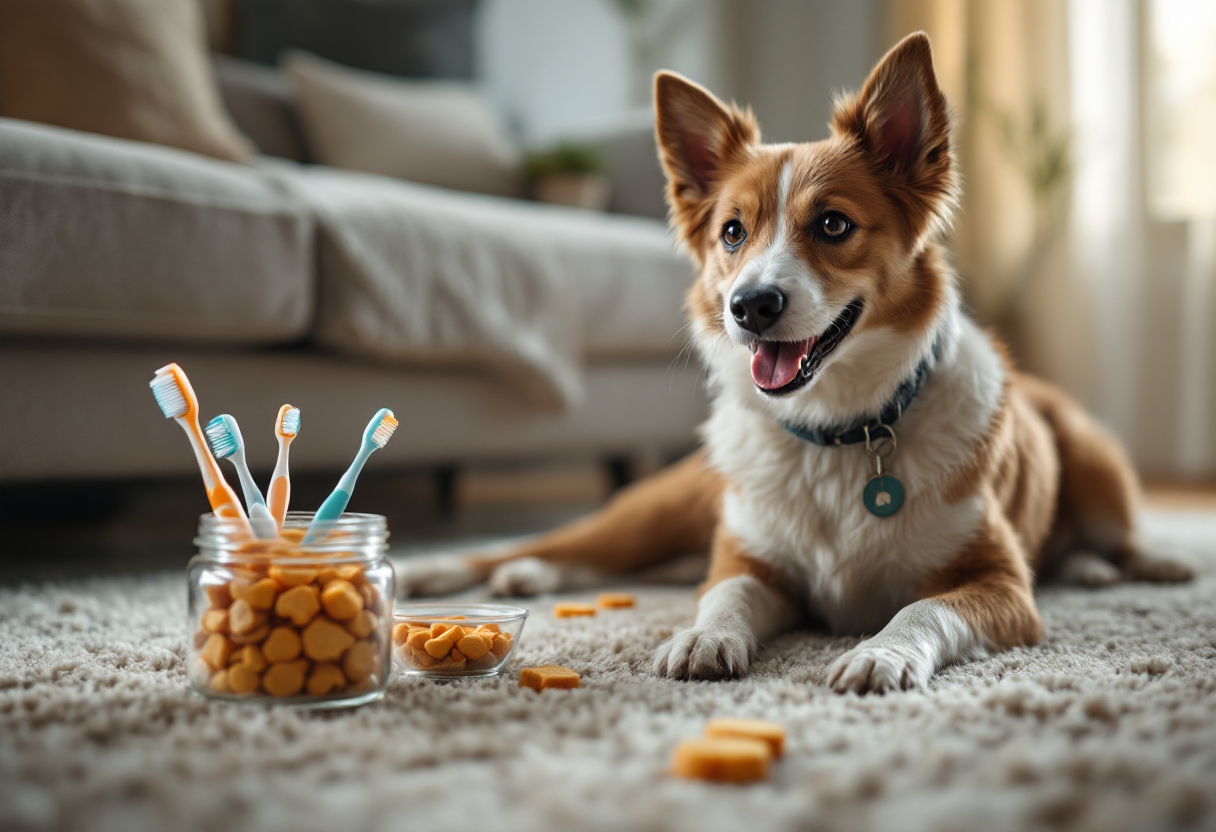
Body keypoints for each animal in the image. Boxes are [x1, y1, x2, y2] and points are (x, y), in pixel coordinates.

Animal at [403, 32, 1191, 690]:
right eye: (732, 232)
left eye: (833, 224)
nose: (750, 305)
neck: (840, 431)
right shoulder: (750, 560)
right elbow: (724, 593)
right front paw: (703, 638)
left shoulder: (1001, 586)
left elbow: (922, 610)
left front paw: (880, 653)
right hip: (658, 508)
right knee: (562, 543)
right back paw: (456, 569)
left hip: (1093, 456)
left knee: (1116, 533)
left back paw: (1124, 565)